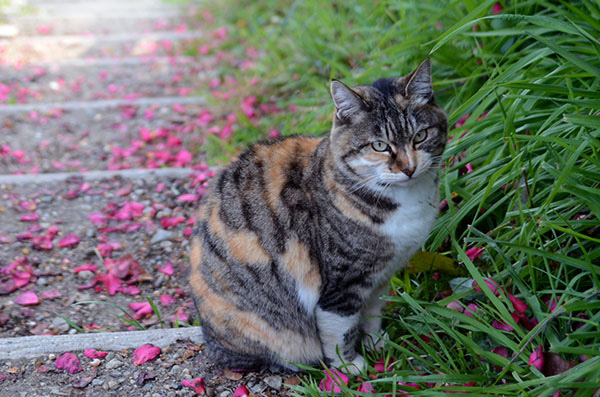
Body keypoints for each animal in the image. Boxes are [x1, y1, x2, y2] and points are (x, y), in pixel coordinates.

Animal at [190, 57, 448, 372]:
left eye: (420, 136)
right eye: (379, 145)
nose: (409, 168)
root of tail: (209, 338)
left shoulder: (381, 276)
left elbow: (373, 313)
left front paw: (378, 343)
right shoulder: (342, 282)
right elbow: (340, 329)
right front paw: (349, 366)